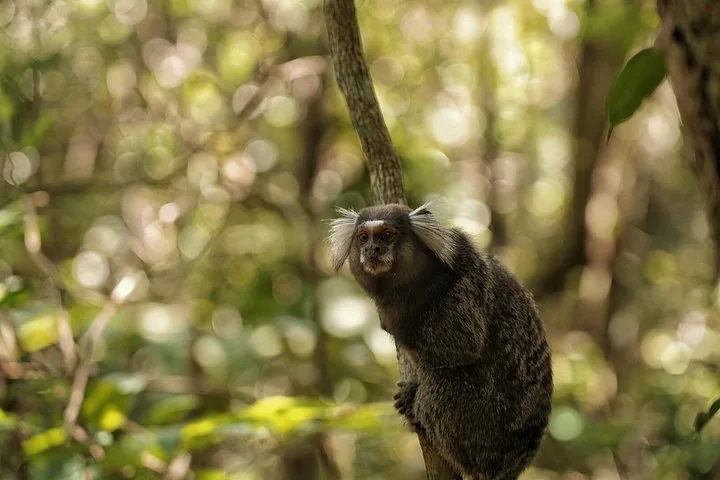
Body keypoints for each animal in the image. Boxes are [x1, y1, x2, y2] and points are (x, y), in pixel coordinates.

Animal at [328, 203, 553, 480]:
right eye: (363, 238)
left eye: (387, 235)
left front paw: (392, 322)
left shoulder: (463, 287)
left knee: (444, 380)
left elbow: (462, 345)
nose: (372, 249)